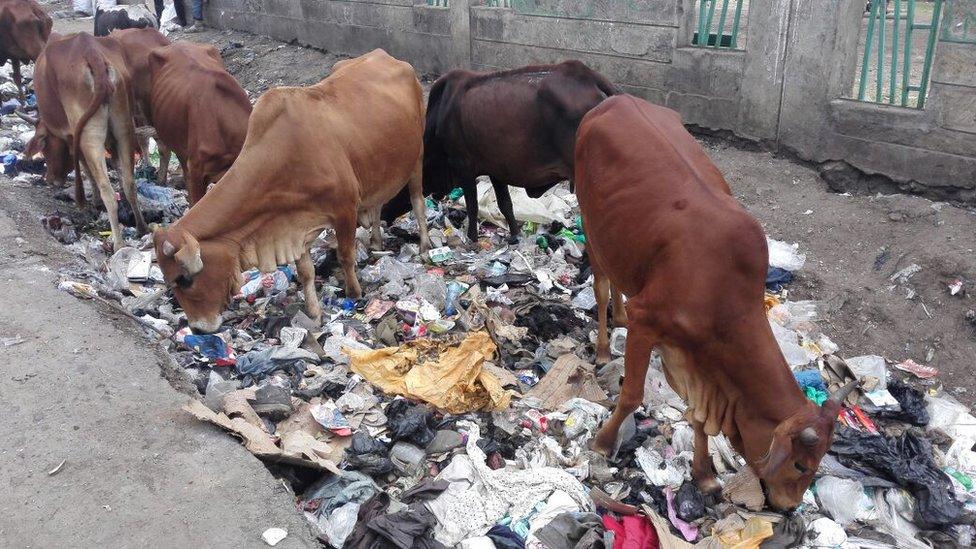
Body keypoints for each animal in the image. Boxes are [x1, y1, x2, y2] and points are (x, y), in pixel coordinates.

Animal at [26, 32, 147, 248]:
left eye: (45, 147)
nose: (50, 179)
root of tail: (93, 54)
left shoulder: (72, 135)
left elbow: (84, 167)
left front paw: (93, 201)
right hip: (124, 127)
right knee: (130, 184)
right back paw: (142, 228)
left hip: (89, 135)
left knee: (108, 190)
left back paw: (118, 243)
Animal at [152, 50, 428, 334]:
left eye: (184, 279)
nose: (197, 329)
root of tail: (386, 56)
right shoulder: (295, 226)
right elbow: (306, 272)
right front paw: (314, 314)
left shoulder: (345, 210)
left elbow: (346, 256)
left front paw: (354, 294)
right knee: (377, 206)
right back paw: (376, 242)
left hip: (417, 156)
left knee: (417, 201)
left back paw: (425, 246)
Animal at [380, 60, 612, 242]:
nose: (380, 214)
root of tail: (587, 76)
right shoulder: (496, 170)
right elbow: (505, 204)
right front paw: (515, 235)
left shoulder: (463, 167)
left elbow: (472, 206)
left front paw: (471, 238)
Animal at [576, 93, 856, 510]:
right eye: (801, 465)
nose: (789, 507)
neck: (723, 296)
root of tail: (616, 100)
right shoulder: (648, 323)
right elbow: (631, 395)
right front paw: (603, 442)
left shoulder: (696, 363)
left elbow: (697, 417)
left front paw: (705, 475)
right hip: (589, 223)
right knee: (601, 286)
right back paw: (603, 348)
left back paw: (619, 316)